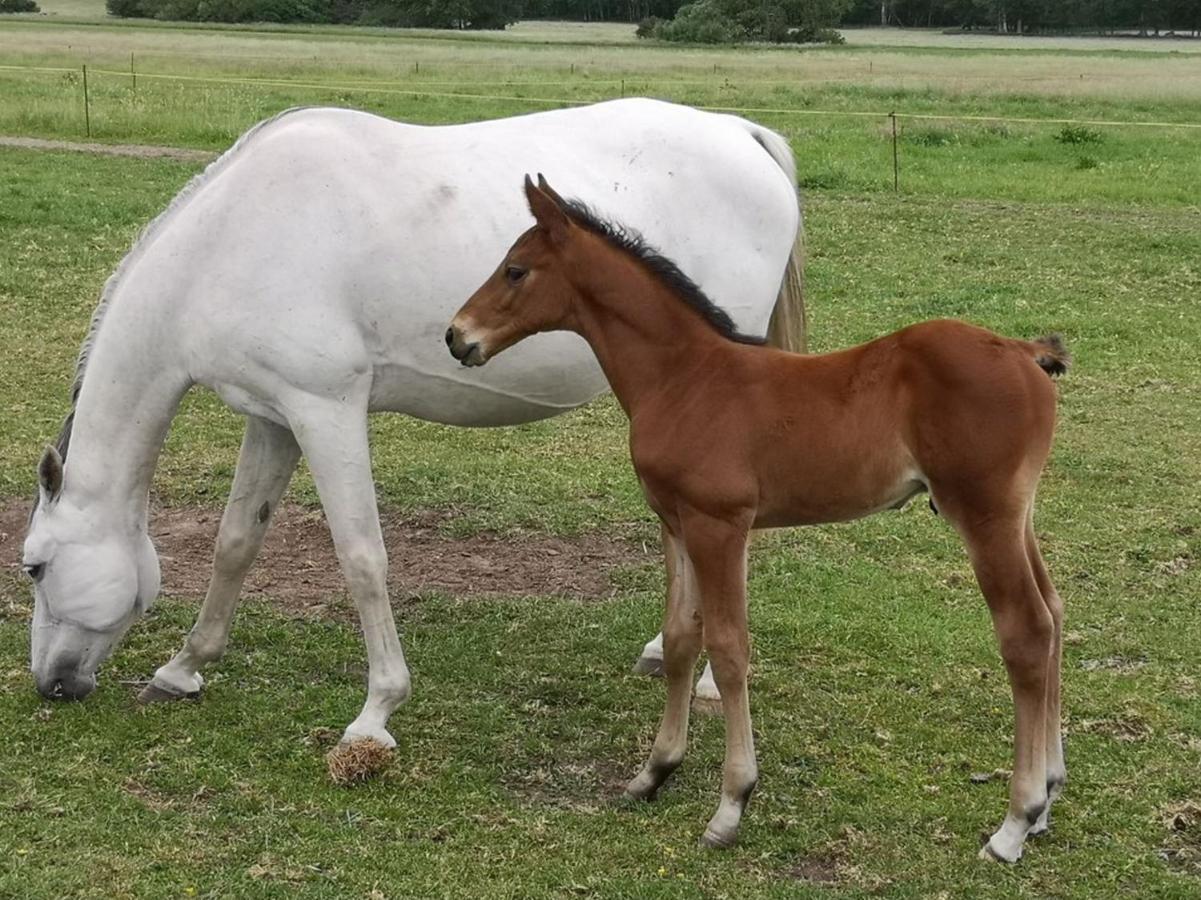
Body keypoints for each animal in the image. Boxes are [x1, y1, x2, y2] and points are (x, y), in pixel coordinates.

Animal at [18, 98, 802, 749]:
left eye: (34, 566)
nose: (51, 684)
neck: (231, 240)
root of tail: (742, 134)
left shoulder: (325, 410)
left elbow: (363, 558)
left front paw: (376, 713)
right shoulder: (273, 417)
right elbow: (236, 541)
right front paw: (182, 669)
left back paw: (708, 680)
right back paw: (665, 653)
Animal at [449, 171, 1071, 860]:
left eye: (515, 270)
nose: (456, 336)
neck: (684, 378)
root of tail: (1022, 350)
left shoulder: (718, 524)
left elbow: (727, 648)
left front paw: (730, 805)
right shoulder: (677, 523)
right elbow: (680, 638)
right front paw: (653, 772)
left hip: (983, 514)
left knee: (1026, 631)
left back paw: (1015, 822)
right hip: (1018, 514)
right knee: (1054, 612)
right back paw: (1046, 798)